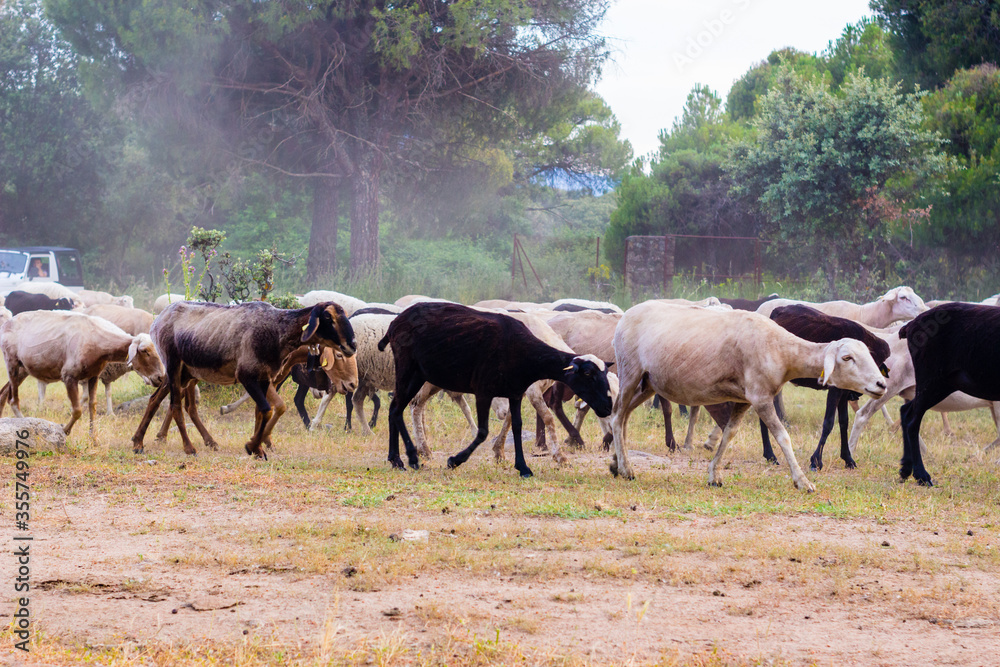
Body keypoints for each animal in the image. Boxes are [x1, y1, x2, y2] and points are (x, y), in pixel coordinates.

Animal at [0, 311, 165, 434]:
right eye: (144, 351)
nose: (160, 377)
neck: (97, 340)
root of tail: (7, 322)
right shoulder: (69, 376)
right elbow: (78, 410)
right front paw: (65, 430)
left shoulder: (94, 376)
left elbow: (92, 407)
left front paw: (94, 438)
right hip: (12, 362)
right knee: (13, 400)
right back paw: (22, 422)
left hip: (22, 368)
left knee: (4, 392)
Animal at [131, 300, 356, 458]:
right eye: (328, 317)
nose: (352, 345)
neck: (277, 329)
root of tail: (159, 317)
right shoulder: (247, 376)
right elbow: (267, 409)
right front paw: (253, 445)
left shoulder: (264, 378)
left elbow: (264, 411)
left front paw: (258, 447)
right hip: (173, 365)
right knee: (176, 405)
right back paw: (189, 448)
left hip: (185, 373)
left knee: (158, 400)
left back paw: (138, 442)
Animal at [378, 302, 613, 477]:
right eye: (589, 375)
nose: (607, 407)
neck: (527, 354)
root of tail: (394, 323)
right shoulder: (484, 391)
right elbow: (483, 431)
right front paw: (455, 460)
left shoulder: (515, 392)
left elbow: (516, 425)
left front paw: (522, 467)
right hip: (408, 369)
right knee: (400, 409)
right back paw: (412, 457)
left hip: (418, 374)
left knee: (394, 409)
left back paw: (396, 459)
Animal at [610, 302, 888, 491]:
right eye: (847, 357)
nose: (881, 384)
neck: (781, 350)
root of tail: (626, 315)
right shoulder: (760, 397)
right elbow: (783, 437)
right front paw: (802, 481)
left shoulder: (744, 400)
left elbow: (729, 434)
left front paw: (714, 475)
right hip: (630, 372)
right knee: (616, 417)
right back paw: (626, 468)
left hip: (649, 383)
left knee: (622, 417)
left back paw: (616, 461)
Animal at [888, 303, 1000, 485]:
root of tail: (911, 325)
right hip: (931, 376)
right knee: (912, 420)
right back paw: (922, 475)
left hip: (943, 383)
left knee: (906, 410)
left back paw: (905, 469)